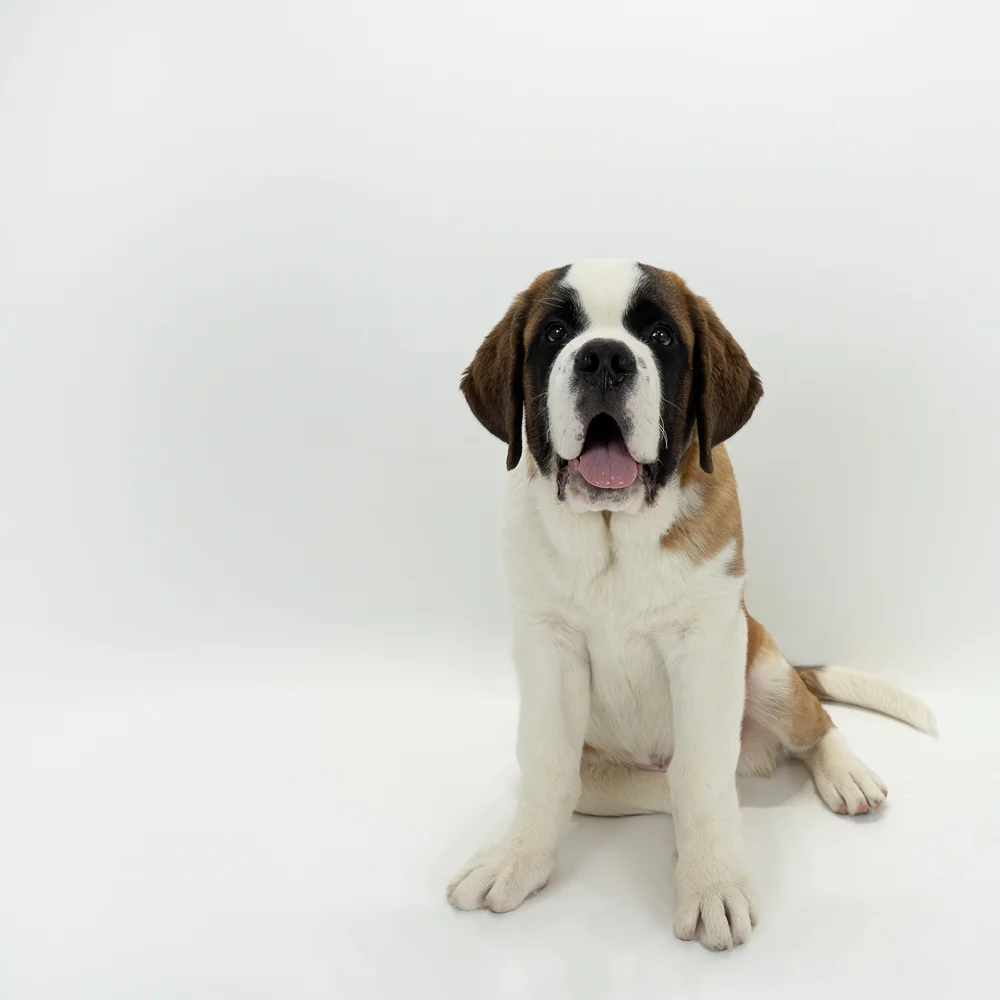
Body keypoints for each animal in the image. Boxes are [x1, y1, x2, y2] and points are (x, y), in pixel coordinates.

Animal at [446, 260, 935, 950]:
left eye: (660, 335)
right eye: (556, 333)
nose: (603, 357)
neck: (614, 535)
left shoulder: (709, 645)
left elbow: (703, 775)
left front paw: (712, 887)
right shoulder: (548, 648)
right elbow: (546, 766)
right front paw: (516, 861)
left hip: (763, 666)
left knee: (808, 725)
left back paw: (846, 774)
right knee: (633, 782)